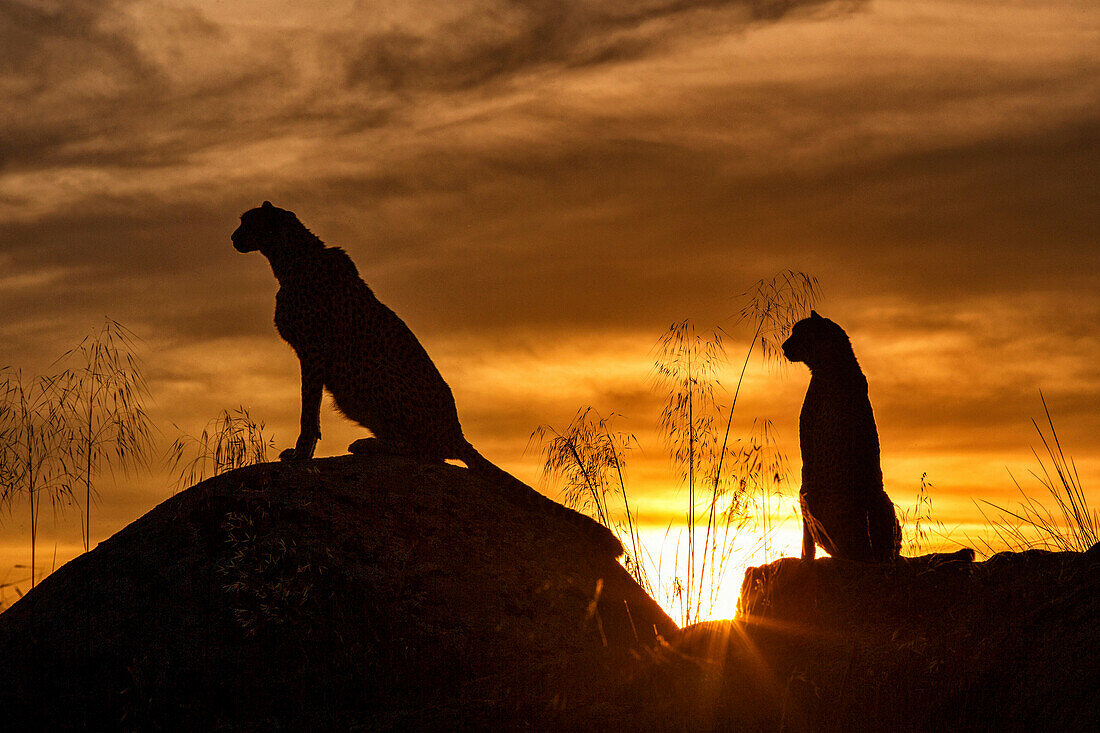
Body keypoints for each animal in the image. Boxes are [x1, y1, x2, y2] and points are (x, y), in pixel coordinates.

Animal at [229, 201, 620, 554]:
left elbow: (308, 412)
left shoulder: (312, 352)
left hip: (374, 375)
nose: (232, 237)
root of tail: (456, 433)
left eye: (246, 221)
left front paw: (301, 454)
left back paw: (371, 445)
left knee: (426, 453)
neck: (291, 258)